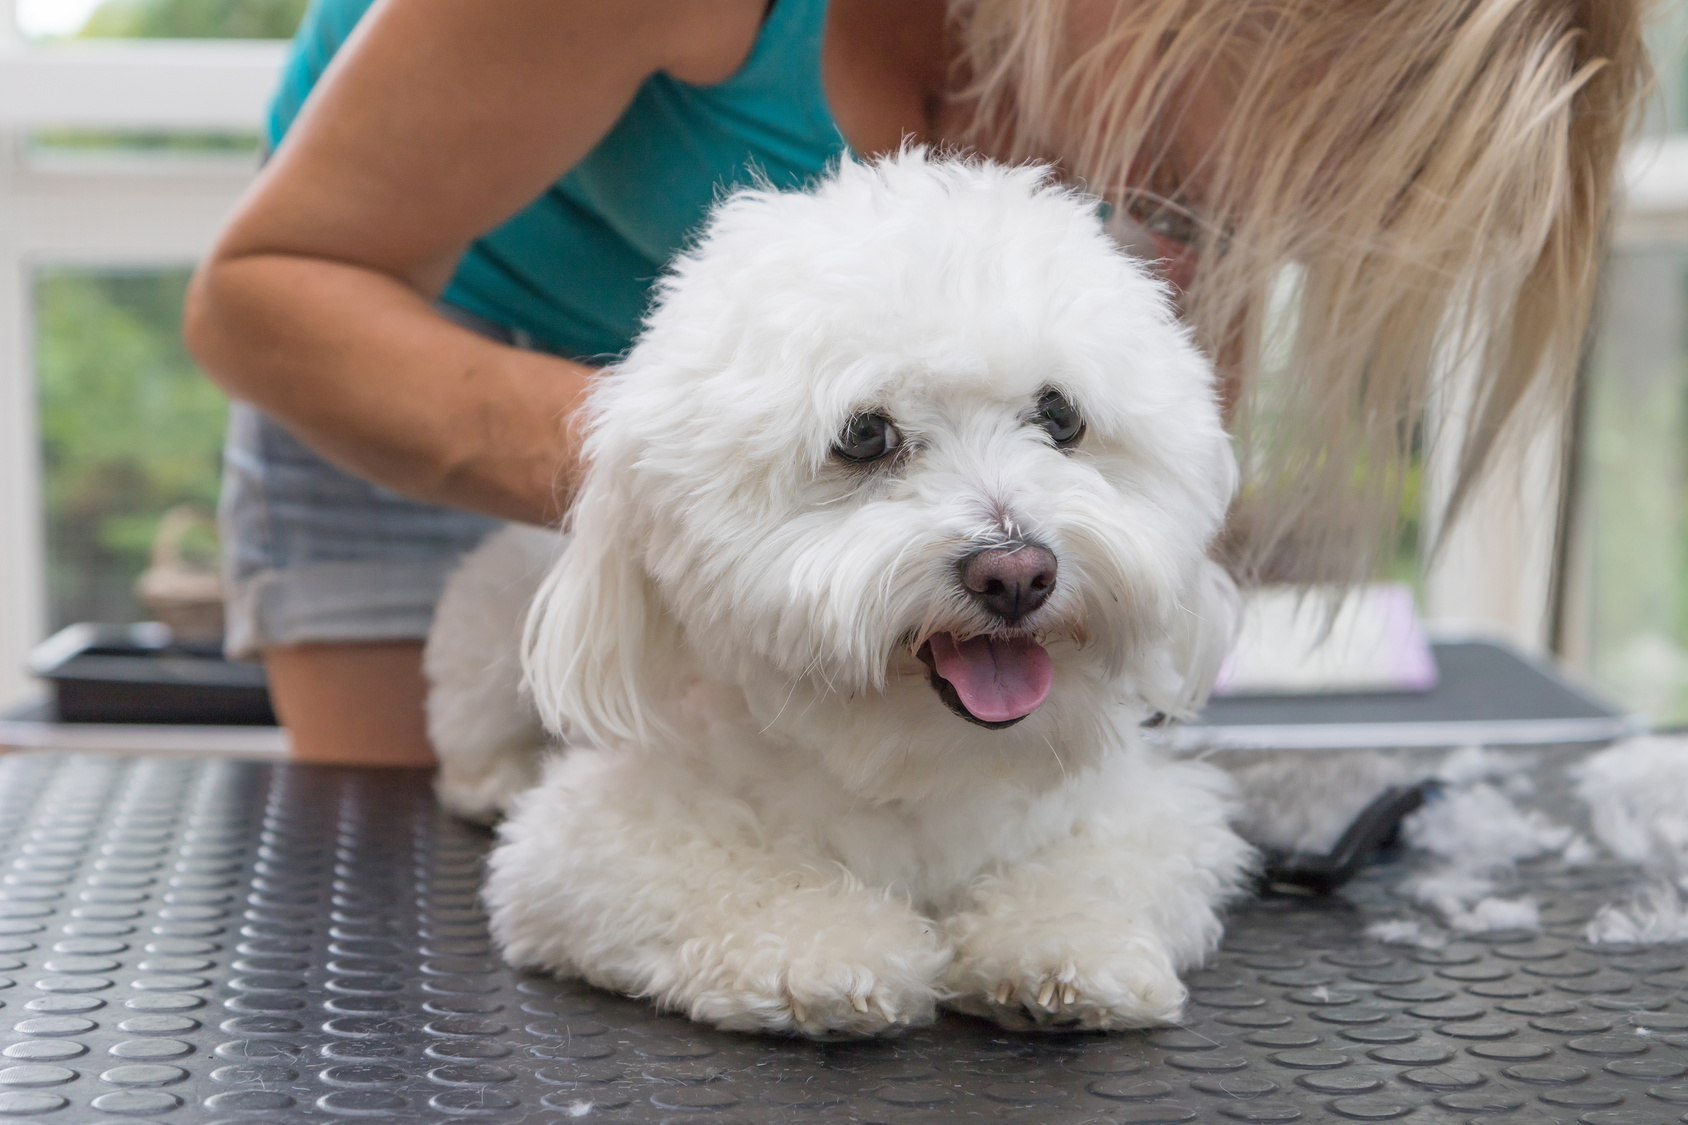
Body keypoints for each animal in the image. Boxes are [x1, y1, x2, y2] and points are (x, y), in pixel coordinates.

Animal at [428, 148, 1262, 1033]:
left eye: (1061, 415)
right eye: (865, 434)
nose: (1016, 572)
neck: (915, 759)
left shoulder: (1153, 811)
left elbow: (1096, 864)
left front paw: (1061, 940)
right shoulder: (585, 839)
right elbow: (728, 872)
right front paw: (821, 947)